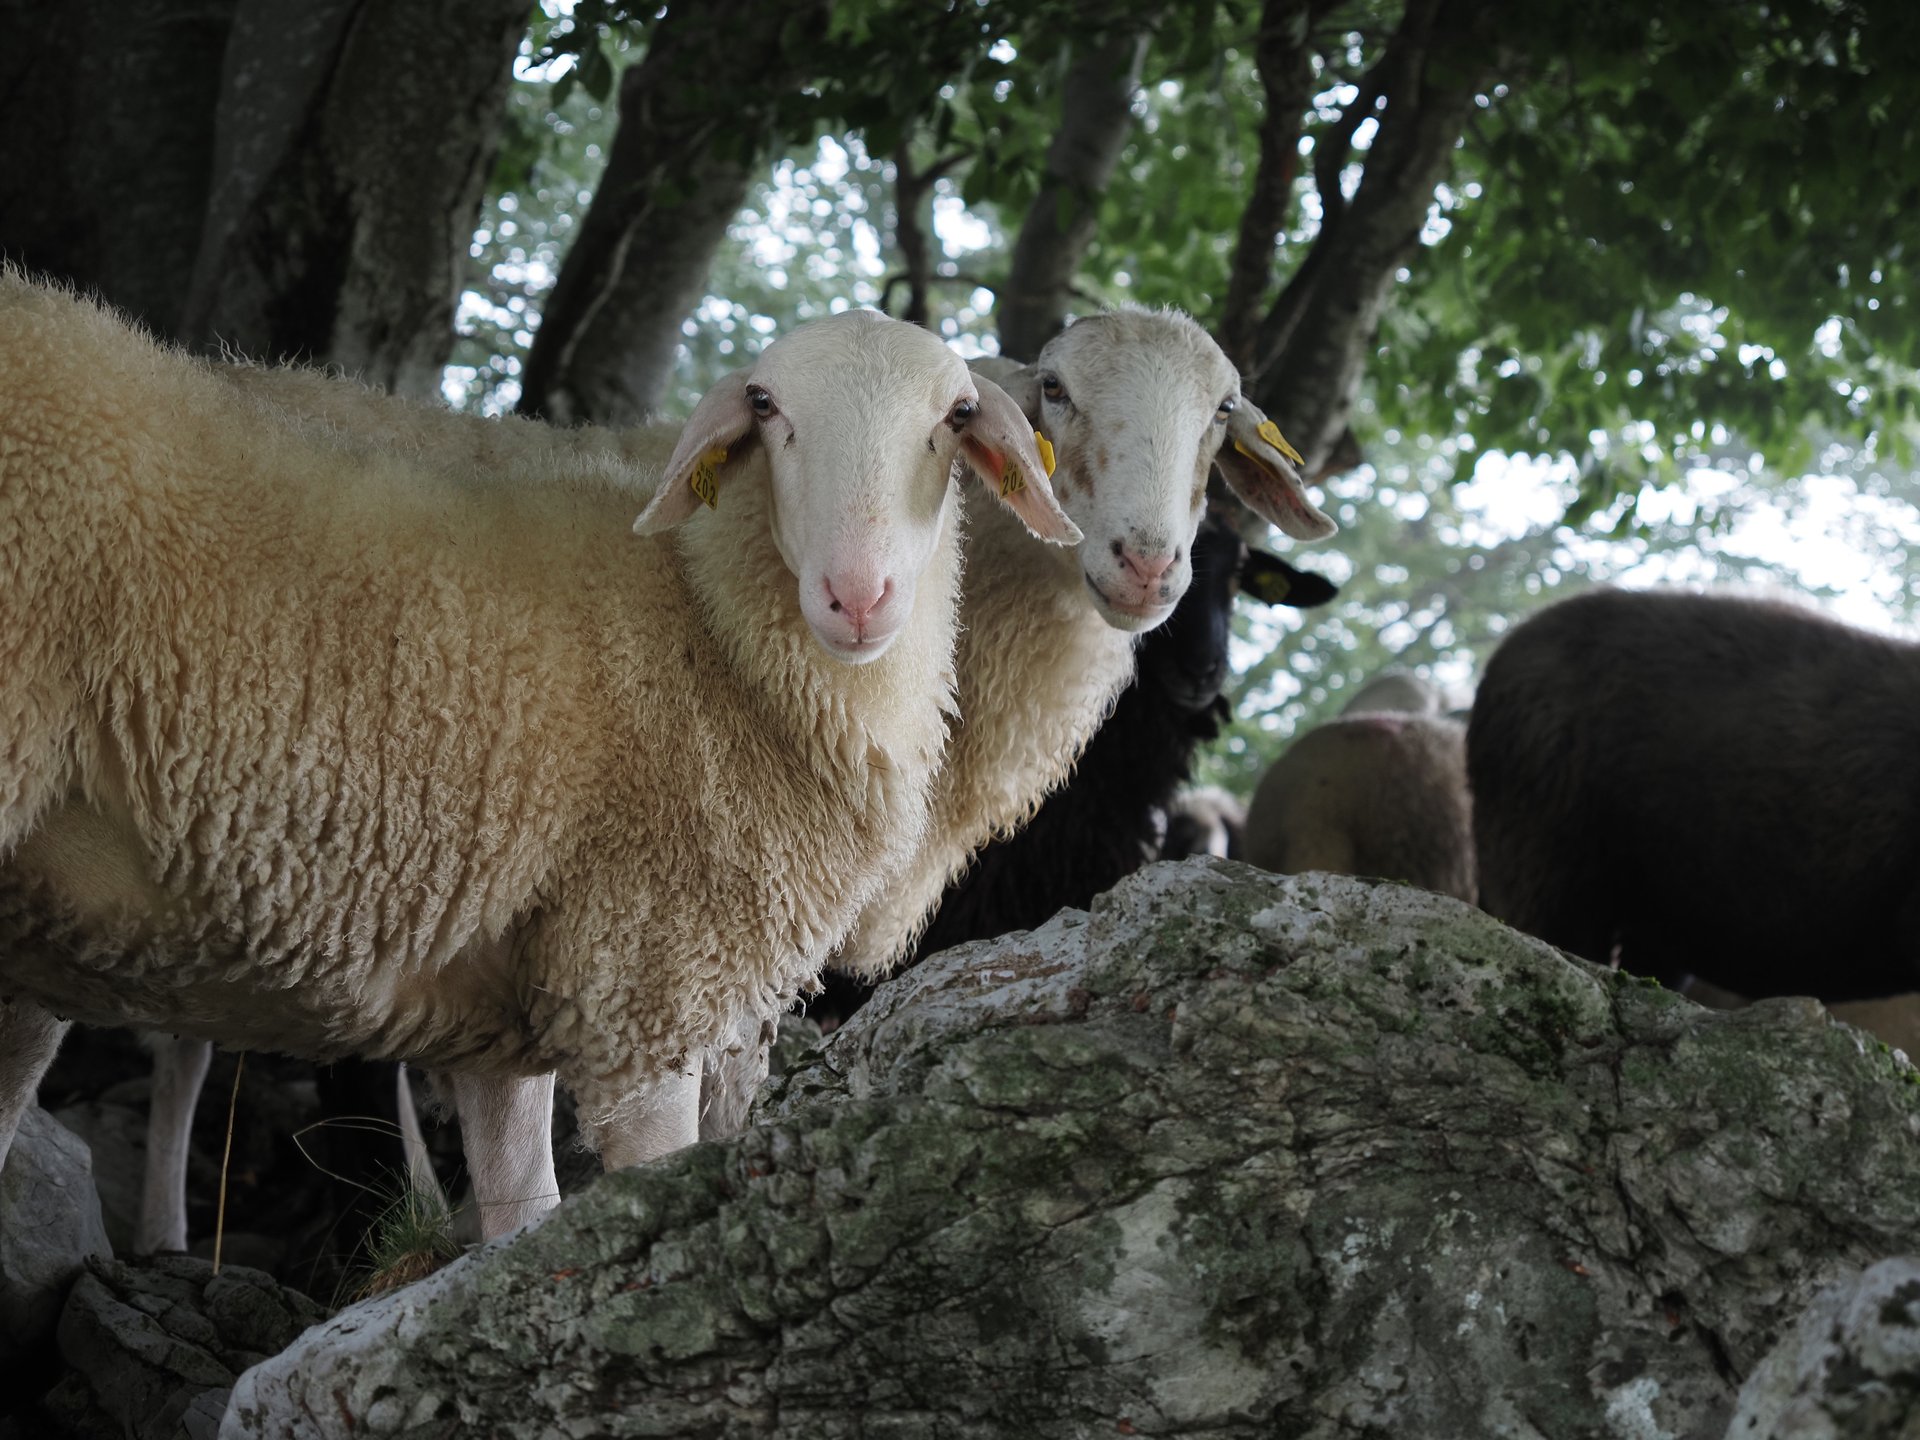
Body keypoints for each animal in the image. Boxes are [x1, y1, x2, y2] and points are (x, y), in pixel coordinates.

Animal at [0, 271, 1077, 1240]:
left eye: (958, 414)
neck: (715, 631)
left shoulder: (507, 1005)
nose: (858, 596)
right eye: (767, 407)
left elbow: (522, 1216)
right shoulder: (651, 988)